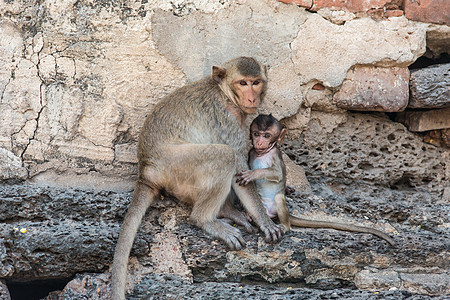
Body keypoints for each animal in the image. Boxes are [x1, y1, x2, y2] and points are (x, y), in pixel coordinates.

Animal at [110, 56, 284, 300]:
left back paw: (226, 210)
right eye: (242, 83)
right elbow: (239, 167)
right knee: (224, 155)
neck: (224, 93)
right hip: (177, 165)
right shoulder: (226, 118)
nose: (251, 97)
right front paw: (265, 221)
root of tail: (146, 169)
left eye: (256, 82)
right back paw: (205, 220)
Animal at [237, 114, 396, 246]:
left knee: (278, 198)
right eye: (256, 134)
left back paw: (284, 226)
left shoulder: (275, 154)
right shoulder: (251, 152)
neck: (263, 153)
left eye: (267, 135)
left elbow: (277, 174)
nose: (259, 142)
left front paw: (253, 174)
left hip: (276, 207)